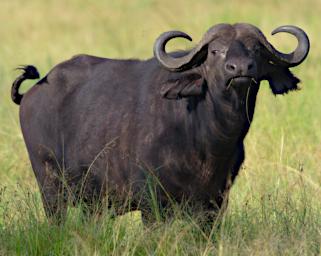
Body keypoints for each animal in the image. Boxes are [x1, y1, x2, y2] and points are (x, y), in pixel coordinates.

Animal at [11, 23, 308, 224]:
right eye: (215, 51)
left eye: (256, 49)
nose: (241, 69)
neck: (207, 137)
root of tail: (33, 92)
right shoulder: (152, 203)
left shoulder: (215, 202)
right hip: (51, 189)